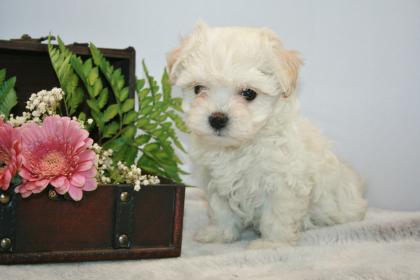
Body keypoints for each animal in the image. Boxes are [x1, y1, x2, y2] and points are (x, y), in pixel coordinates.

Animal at [167, 21, 368, 248]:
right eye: (198, 88)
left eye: (249, 93)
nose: (217, 118)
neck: (240, 147)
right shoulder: (217, 183)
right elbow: (221, 211)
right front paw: (219, 234)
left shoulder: (283, 183)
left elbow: (277, 215)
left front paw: (272, 244)